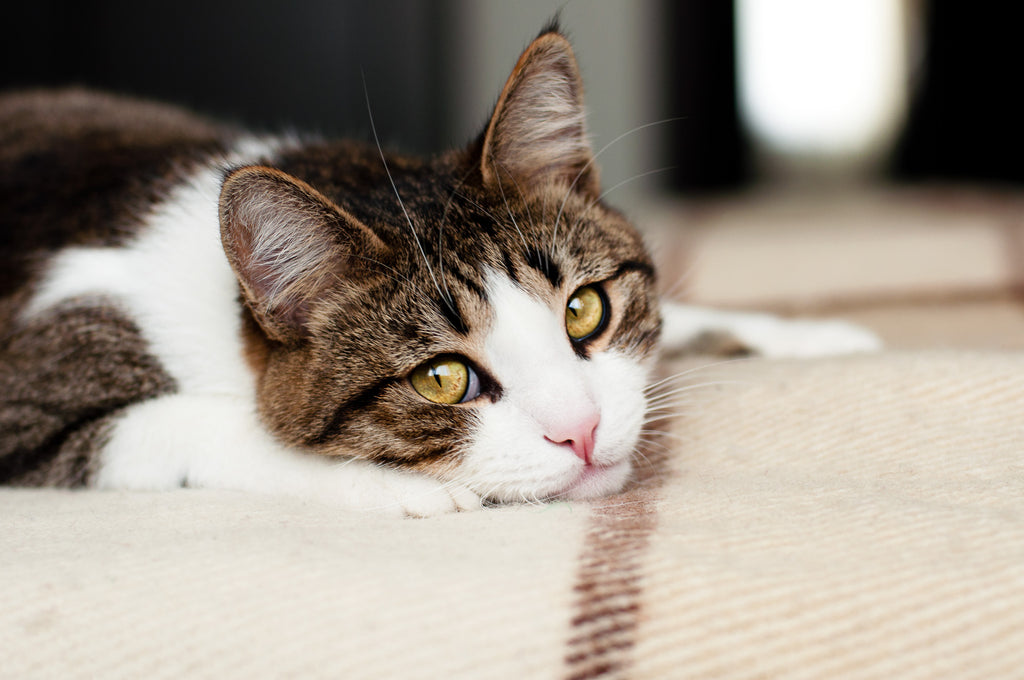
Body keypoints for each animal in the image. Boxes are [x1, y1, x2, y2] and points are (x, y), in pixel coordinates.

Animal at [0, 25, 880, 516]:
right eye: (442, 379)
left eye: (584, 310)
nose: (585, 431)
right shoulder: (36, 381)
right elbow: (205, 423)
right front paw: (403, 486)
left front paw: (808, 338)